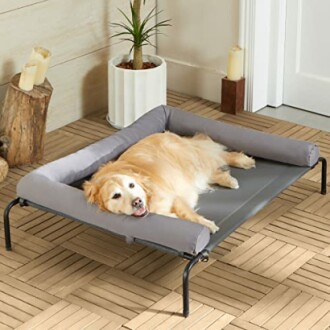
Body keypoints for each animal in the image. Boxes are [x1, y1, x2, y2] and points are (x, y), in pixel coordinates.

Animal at [82, 130, 255, 233]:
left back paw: (244, 162)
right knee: (211, 172)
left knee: (216, 156)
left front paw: (208, 225)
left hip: (189, 160)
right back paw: (229, 179)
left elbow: (189, 215)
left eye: (132, 185)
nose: (137, 202)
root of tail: (164, 132)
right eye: (116, 195)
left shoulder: (173, 197)